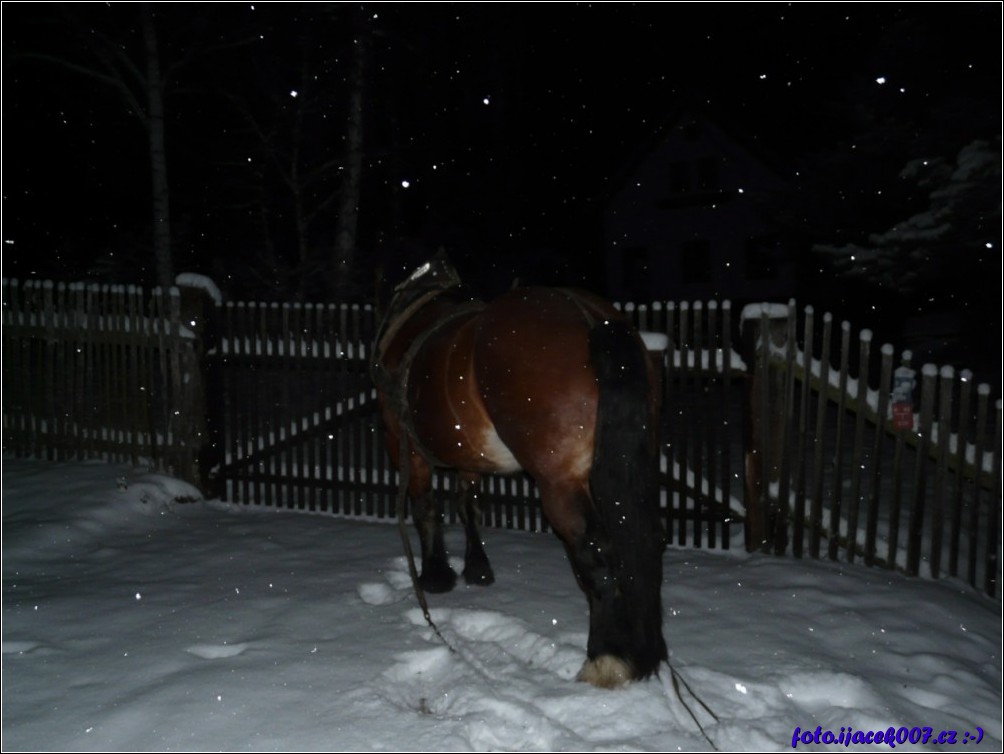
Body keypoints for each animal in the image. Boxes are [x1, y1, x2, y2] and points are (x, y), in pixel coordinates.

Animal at [371, 255, 666, 690]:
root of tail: (591, 319)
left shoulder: (402, 441)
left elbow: (425, 507)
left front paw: (436, 574)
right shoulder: (469, 456)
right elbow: (469, 503)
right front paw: (476, 567)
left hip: (558, 483)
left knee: (597, 553)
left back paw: (605, 658)